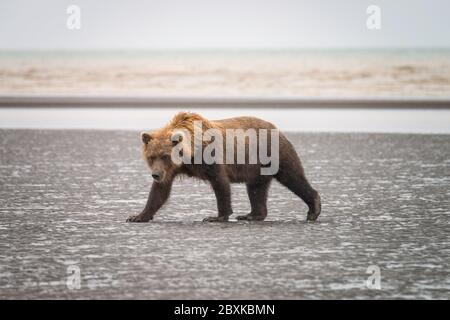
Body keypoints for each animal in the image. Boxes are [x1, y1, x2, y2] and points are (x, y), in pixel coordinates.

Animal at [126, 112, 322, 222]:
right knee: (256, 188)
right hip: (256, 167)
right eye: (151, 156)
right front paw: (137, 216)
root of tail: (277, 128)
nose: (156, 174)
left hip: (274, 153)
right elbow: (159, 192)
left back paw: (313, 209)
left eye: (165, 156)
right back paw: (252, 215)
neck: (190, 155)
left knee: (292, 176)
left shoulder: (210, 158)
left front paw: (216, 216)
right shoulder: (172, 170)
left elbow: (220, 184)